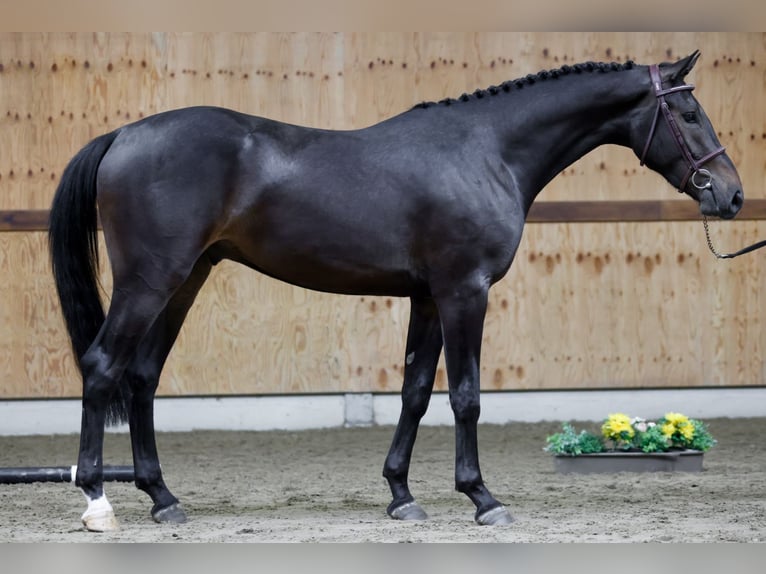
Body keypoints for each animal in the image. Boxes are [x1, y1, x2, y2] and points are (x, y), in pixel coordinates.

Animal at [48, 51, 744, 532]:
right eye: (688, 113)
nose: (732, 195)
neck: (486, 152)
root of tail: (124, 135)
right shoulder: (465, 292)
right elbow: (465, 396)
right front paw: (482, 498)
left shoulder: (428, 297)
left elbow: (413, 393)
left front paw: (402, 496)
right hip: (151, 282)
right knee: (103, 366)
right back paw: (98, 502)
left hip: (185, 281)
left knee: (142, 377)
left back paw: (163, 498)